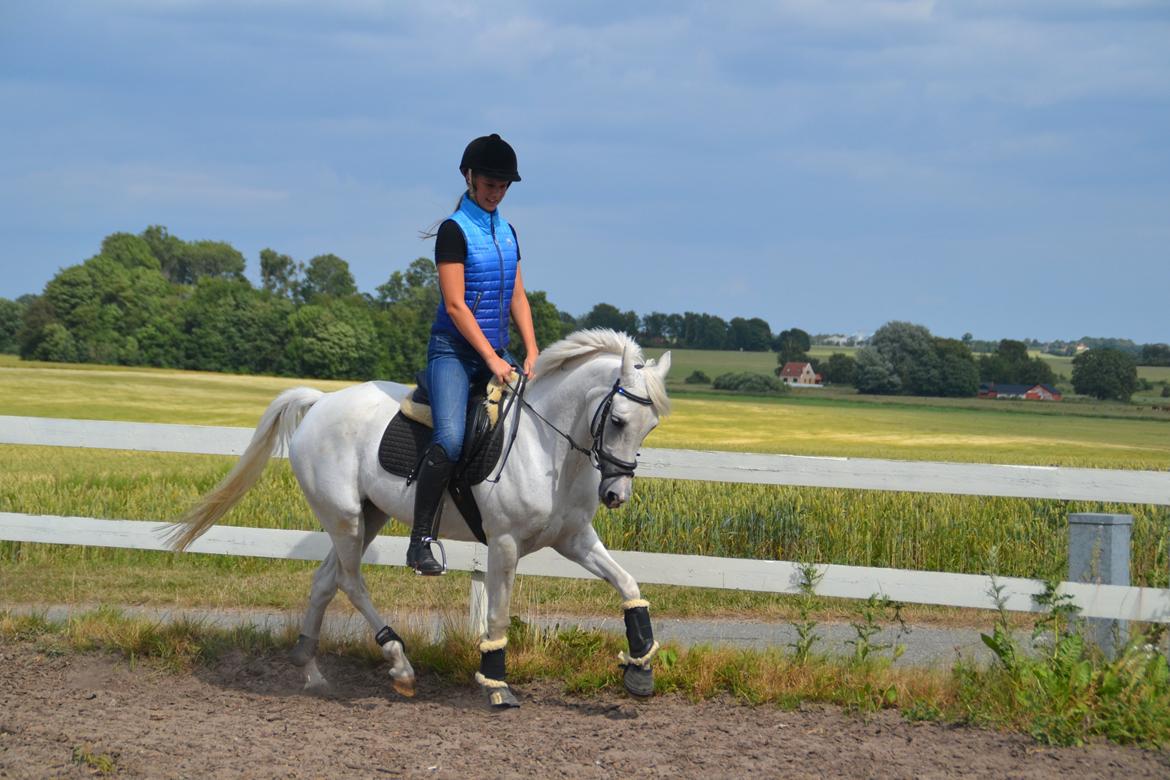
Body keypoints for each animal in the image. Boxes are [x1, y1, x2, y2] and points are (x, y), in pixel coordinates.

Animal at [169, 327, 673, 706]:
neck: (545, 444)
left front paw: (640, 669)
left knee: (325, 580)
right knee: (349, 580)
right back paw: (399, 663)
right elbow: (498, 616)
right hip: (346, 518)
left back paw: (310, 669)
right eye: (618, 421)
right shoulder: (505, 544)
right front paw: (497, 685)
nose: (616, 494)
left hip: (367, 516)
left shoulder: (574, 538)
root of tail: (321, 402)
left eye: (651, 426)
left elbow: (629, 585)